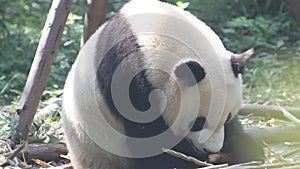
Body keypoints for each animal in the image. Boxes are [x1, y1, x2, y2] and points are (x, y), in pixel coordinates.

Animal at [62, 0, 264, 168]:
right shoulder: (127, 79)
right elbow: (149, 139)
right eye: (197, 122)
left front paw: (245, 148)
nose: (211, 149)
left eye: (228, 117)